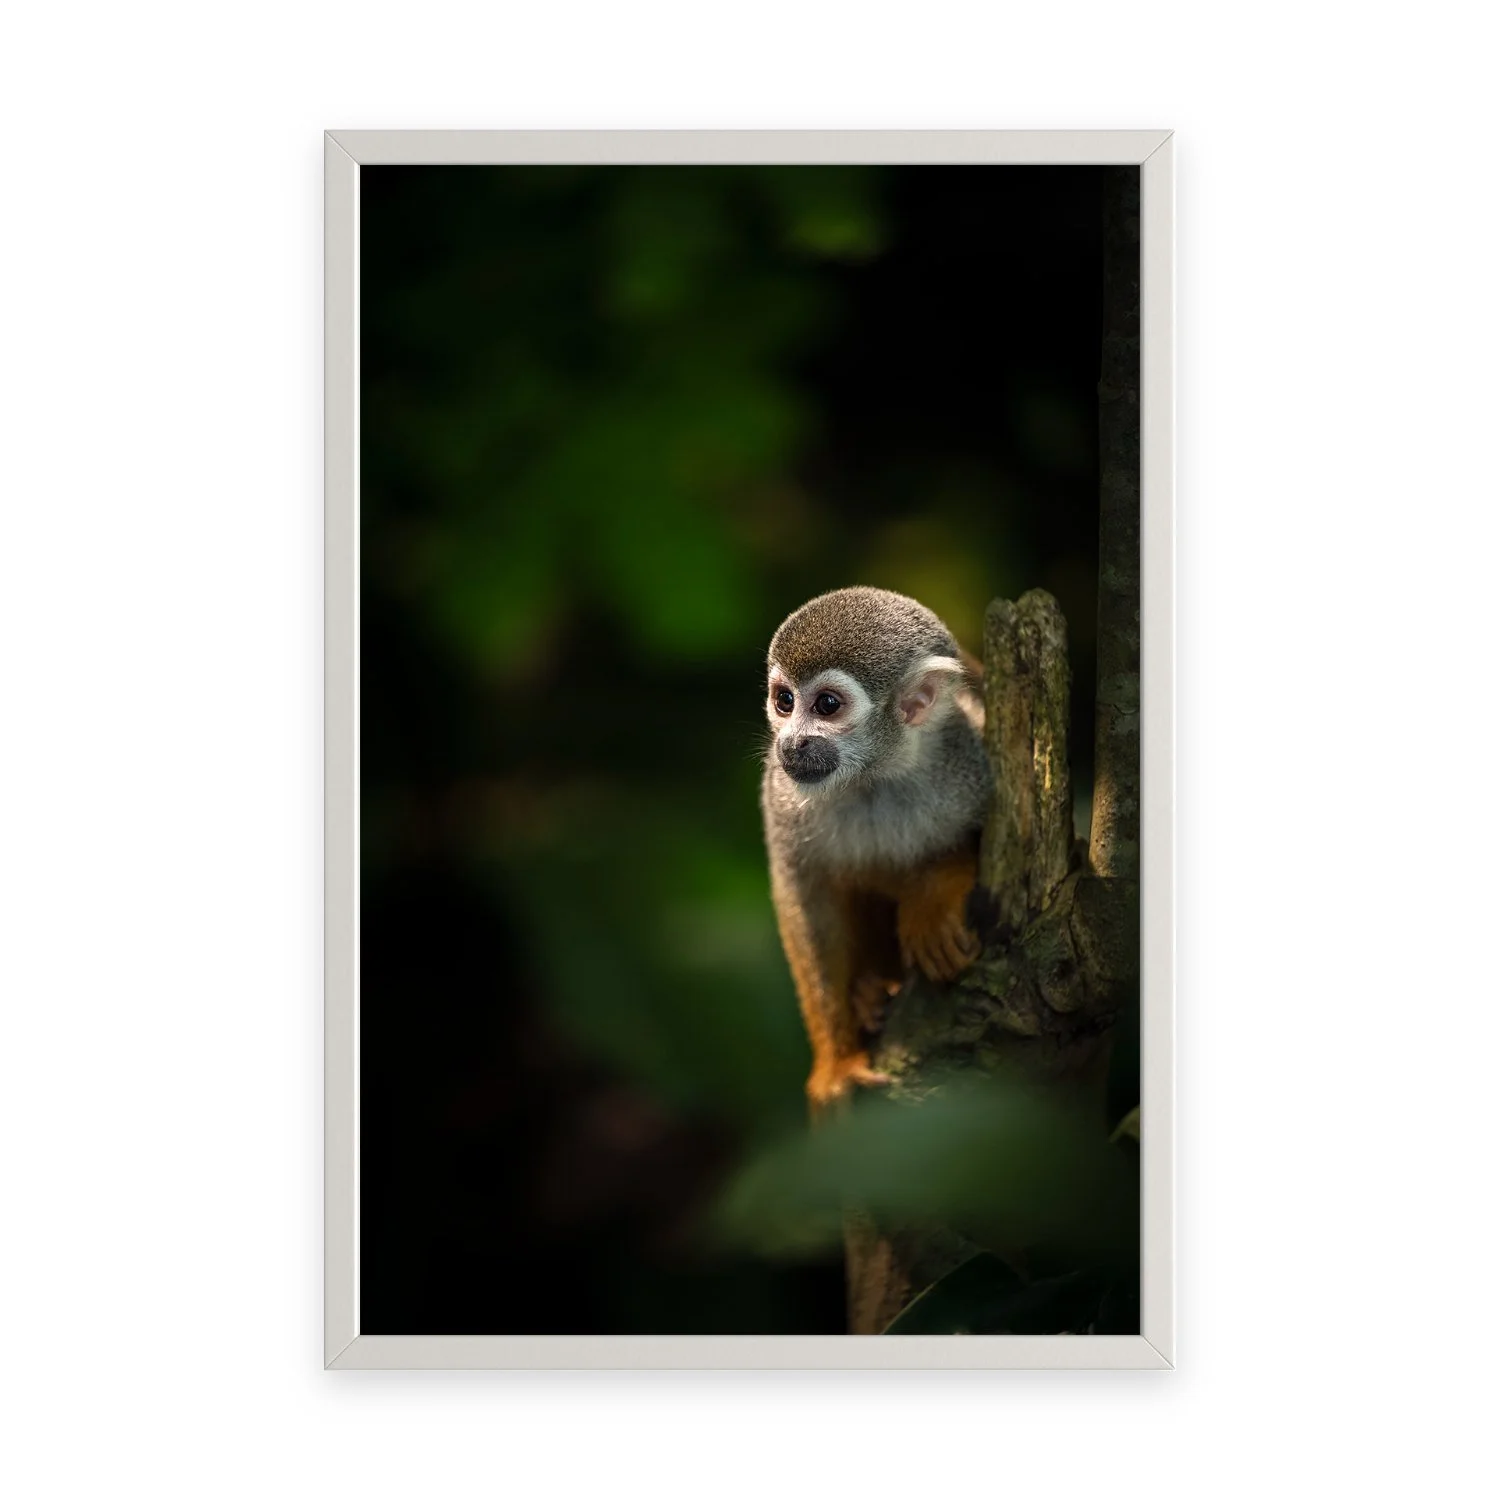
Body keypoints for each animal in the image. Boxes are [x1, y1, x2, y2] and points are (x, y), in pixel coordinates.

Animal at [760, 586, 992, 1110]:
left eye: (827, 705)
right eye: (784, 701)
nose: (790, 744)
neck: (873, 777)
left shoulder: (973, 754)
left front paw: (932, 902)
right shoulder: (782, 795)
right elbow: (807, 902)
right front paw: (836, 1063)